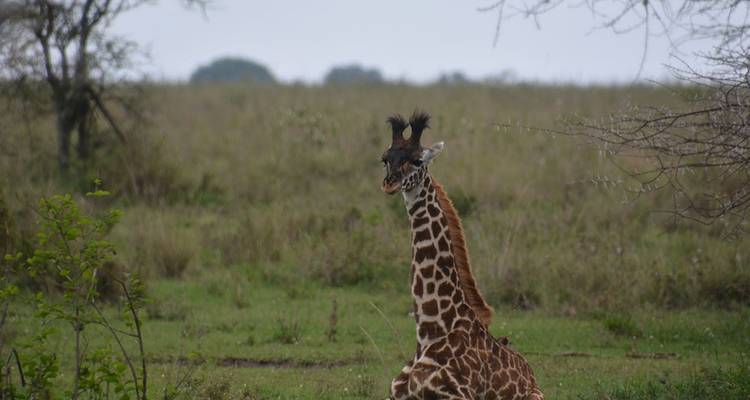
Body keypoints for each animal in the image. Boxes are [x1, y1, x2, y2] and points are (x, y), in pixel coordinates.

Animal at [380, 111, 544, 400]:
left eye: (417, 160)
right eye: (385, 158)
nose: (390, 184)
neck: (432, 330)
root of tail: (528, 366)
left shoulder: (459, 395)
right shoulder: (394, 394)